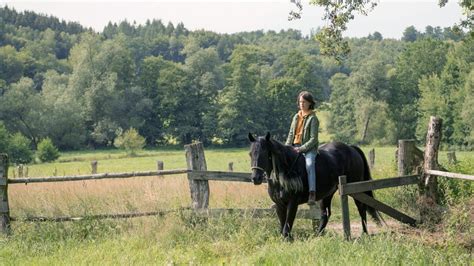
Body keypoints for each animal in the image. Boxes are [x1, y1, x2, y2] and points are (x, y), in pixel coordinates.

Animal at [248, 133, 382, 239]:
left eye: (265, 153)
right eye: (250, 154)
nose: (255, 178)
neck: (285, 172)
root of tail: (351, 148)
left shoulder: (293, 203)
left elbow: (287, 224)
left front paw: (288, 239)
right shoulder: (279, 204)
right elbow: (283, 225)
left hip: (355, 190)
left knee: (361, 208)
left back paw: (364, 233)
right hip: (327, 194)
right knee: (325, 214)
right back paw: (317, 235)